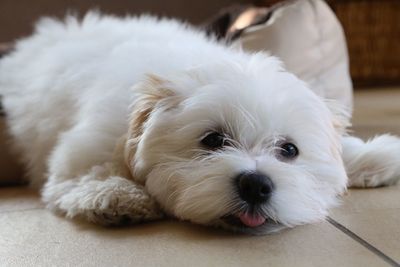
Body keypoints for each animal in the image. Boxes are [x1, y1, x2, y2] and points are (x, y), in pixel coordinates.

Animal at [0, 13, 400, 234]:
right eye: (212, 140)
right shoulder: (90, 141)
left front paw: (375, 157)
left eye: (289, 150)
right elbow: (85, 171)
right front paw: (115, 194)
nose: (256, 185)